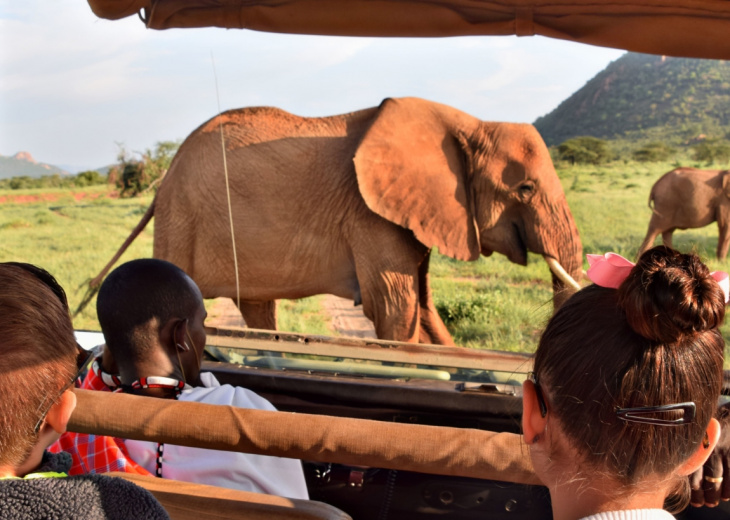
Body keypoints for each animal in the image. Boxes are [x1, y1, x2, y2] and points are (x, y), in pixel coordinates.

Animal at [89, 97, 580, 346]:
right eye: (525, 189)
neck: (470, 122)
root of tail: (165, 176)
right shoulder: (369, 215)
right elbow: (395, 307)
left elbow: (420, 306)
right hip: (182, 216)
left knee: (257, 306)